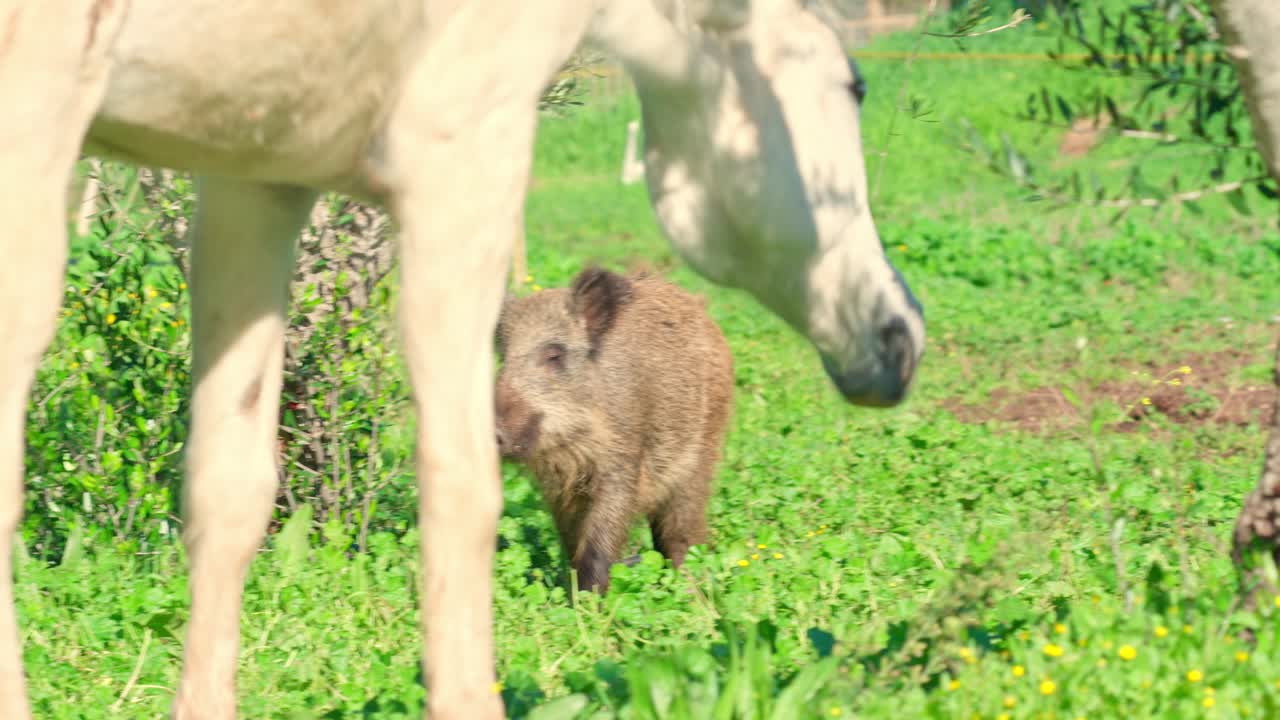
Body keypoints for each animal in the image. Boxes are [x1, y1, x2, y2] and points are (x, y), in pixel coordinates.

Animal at [0, 1, 925, 717]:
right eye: (852, 85)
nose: (901, 340)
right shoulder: (462, 141)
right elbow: (461, 483)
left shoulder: (256, 168)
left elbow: (230, 489)